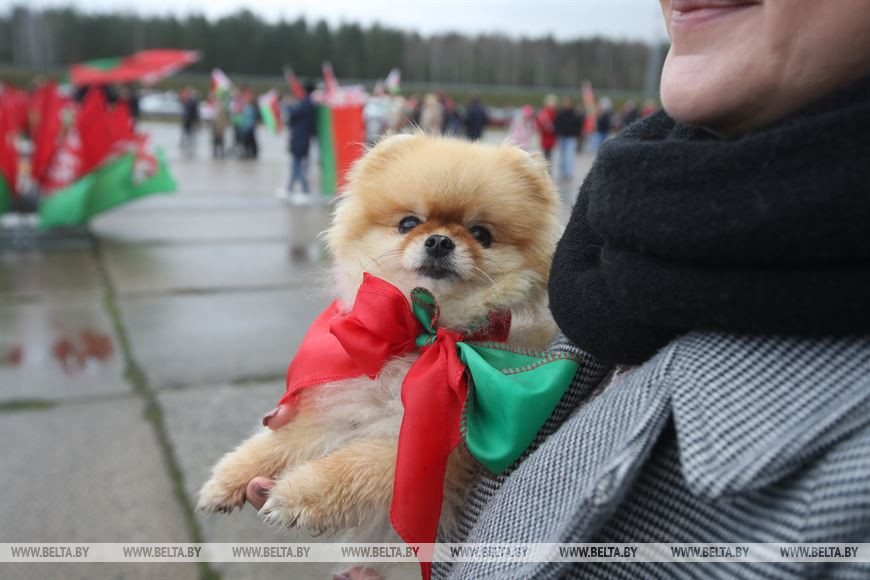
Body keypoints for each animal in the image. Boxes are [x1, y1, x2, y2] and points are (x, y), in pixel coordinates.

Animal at [198, 134, 564, 576]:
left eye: (481, 233)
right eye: (408, 223)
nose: (439, 240)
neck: (421, 339)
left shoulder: (429, 447)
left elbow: (357, 465)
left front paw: (298, 495)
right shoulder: (344, 408)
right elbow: (283, 441)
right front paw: (230, 478)